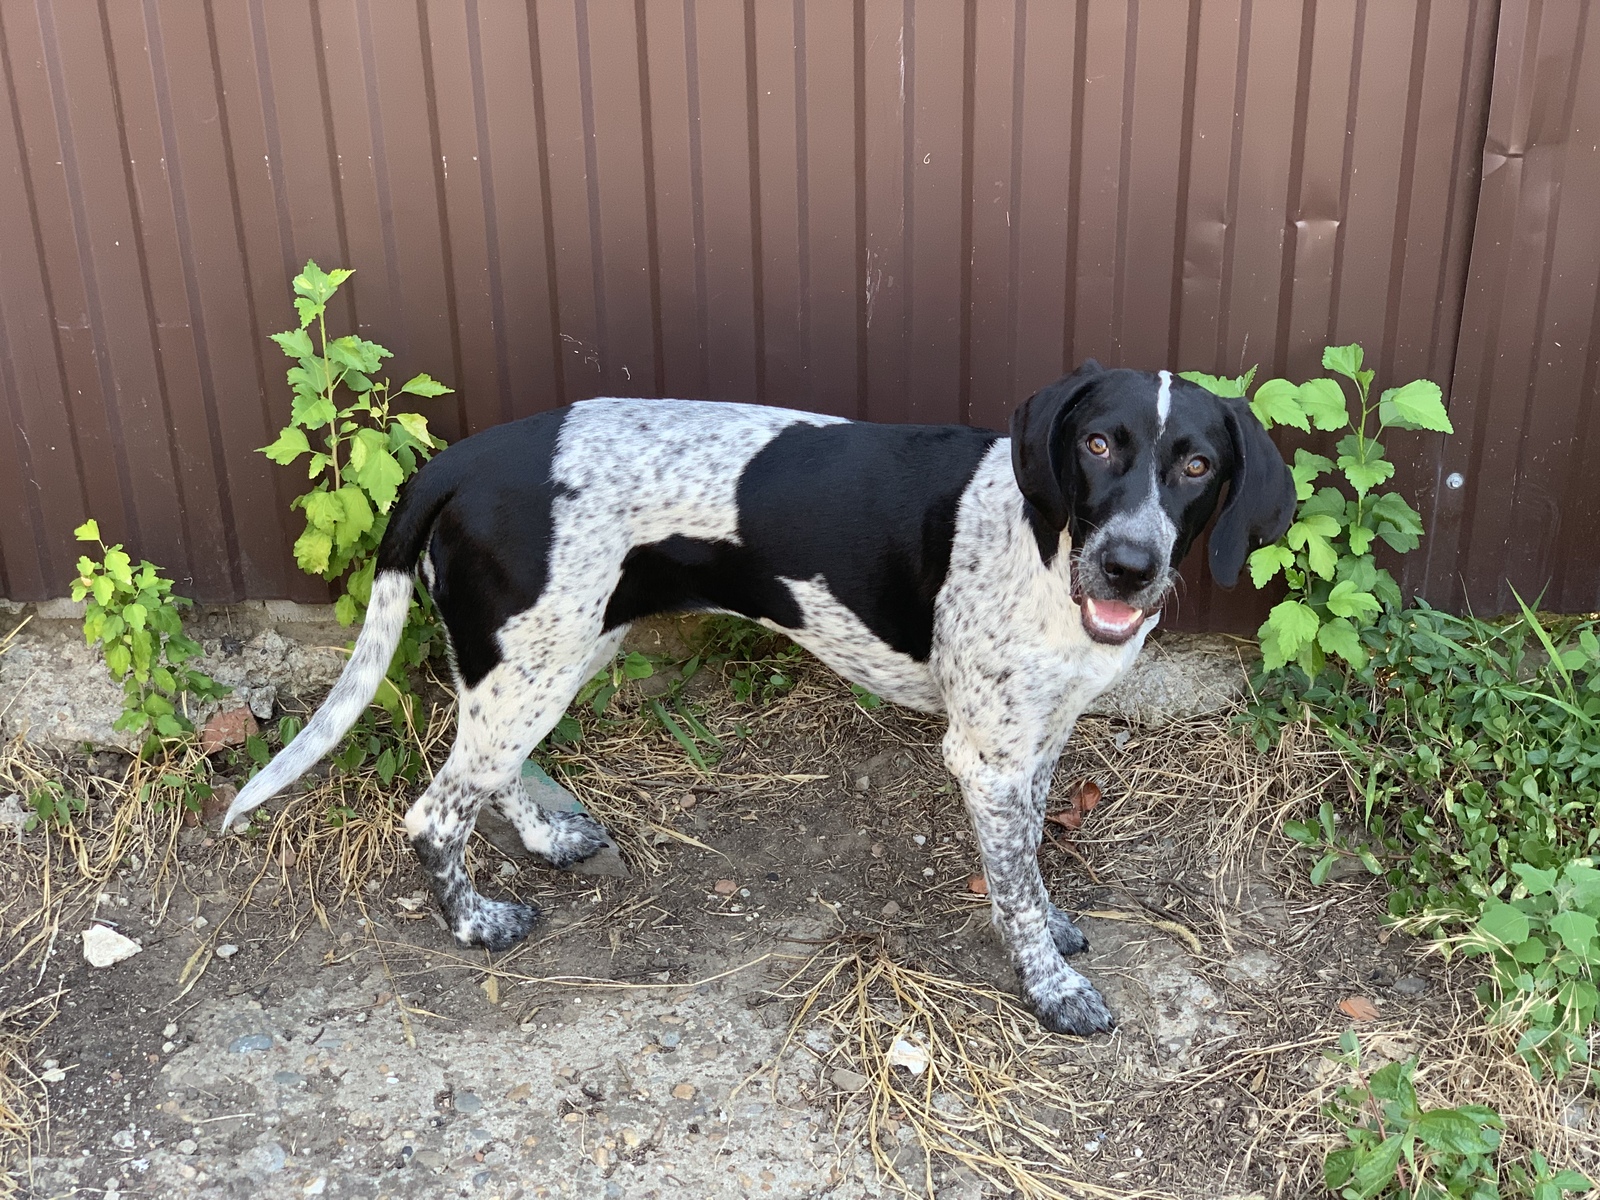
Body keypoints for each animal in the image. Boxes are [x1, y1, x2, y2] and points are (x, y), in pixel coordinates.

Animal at [225, 361, 1292, 1036]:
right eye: (1101, 444)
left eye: (1197, 464)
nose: (1129, 566)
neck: (1045, 545)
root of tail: (460, 459)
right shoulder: (985, 757)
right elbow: (1020, 889)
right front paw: (1052, 985)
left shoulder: (1037, 738)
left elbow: (1028, 855)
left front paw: (1053, 925)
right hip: (536, 659)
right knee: (434, 813)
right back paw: (475, 923)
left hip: (544, 654)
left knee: (488, 768)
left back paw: (546, 836)